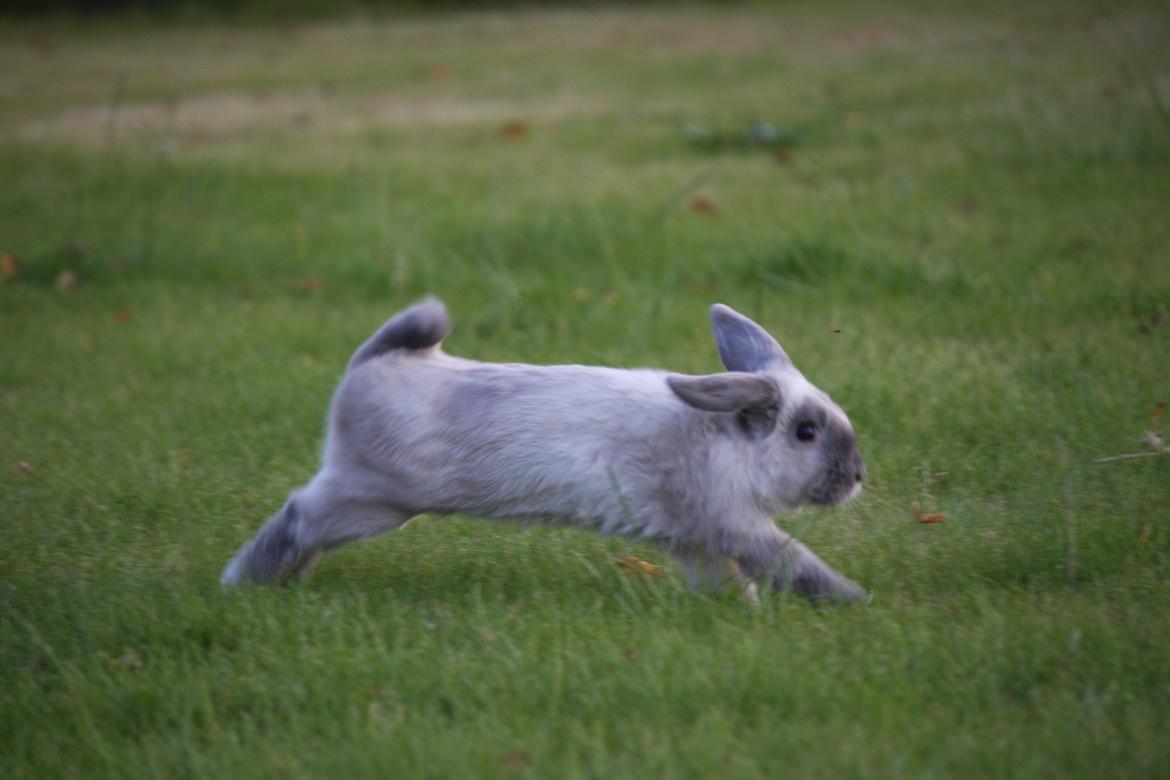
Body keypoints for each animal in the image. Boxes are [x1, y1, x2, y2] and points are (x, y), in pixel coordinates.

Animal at [221, 297, 870, 603]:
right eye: (805, 433)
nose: (859, 475)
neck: (723, 443)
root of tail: (369, 366)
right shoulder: (736, 526)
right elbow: (797, 565)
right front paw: (854, 601)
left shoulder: (699, 541)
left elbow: (732, 581)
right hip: (369, 500)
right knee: (296, 518)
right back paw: (243, 583)